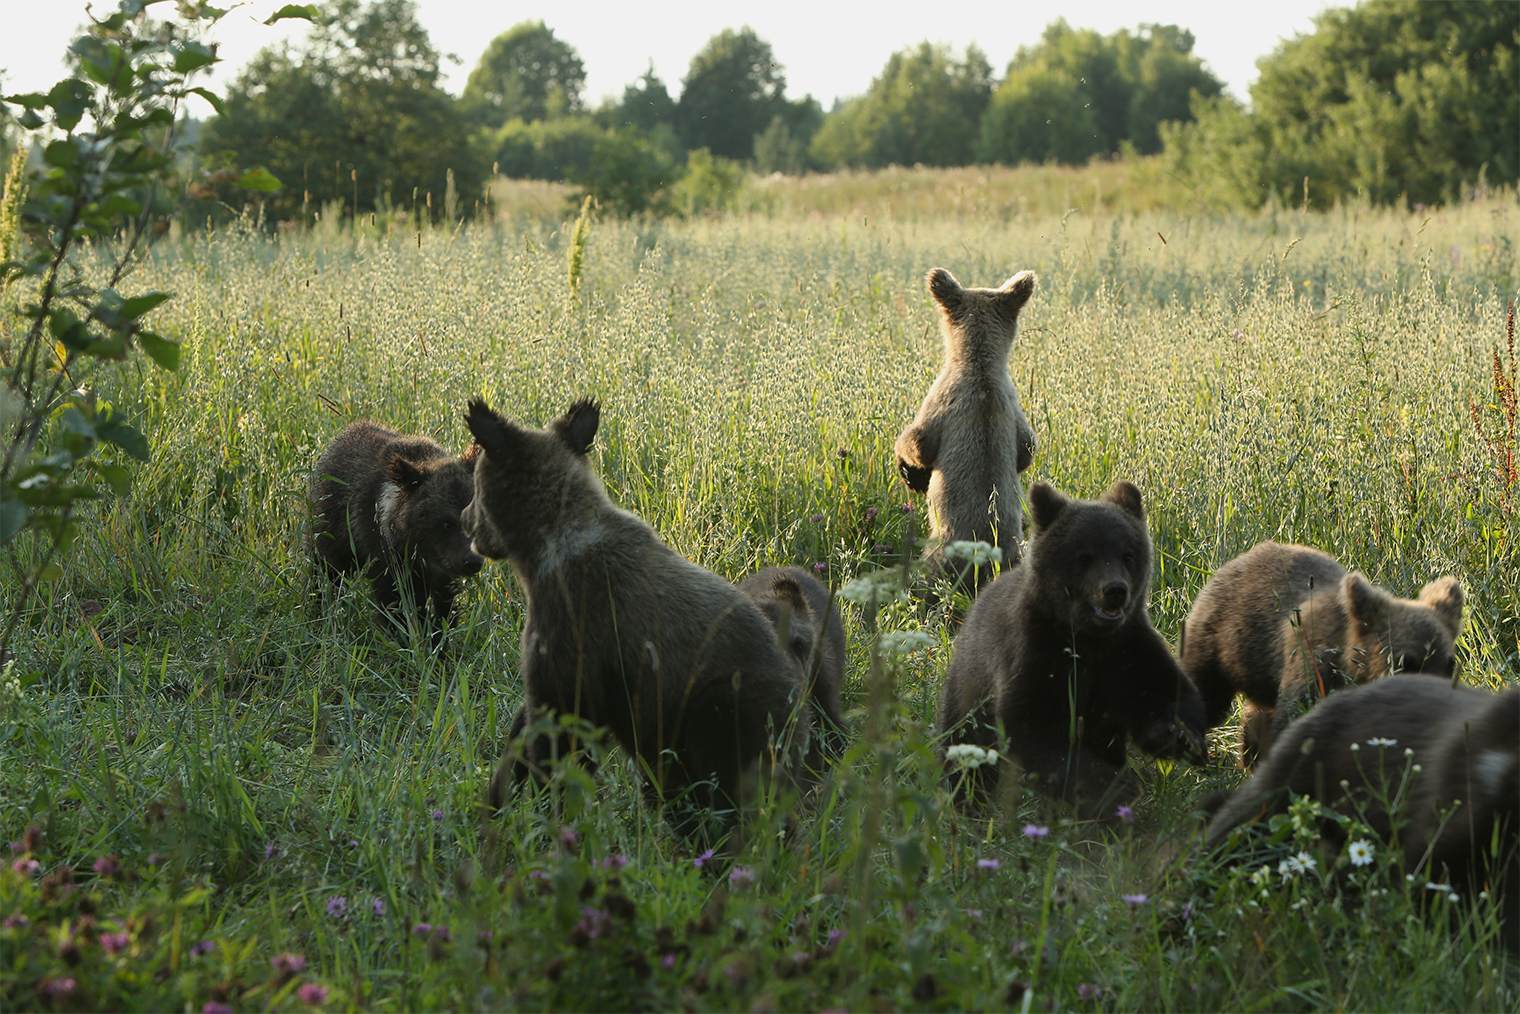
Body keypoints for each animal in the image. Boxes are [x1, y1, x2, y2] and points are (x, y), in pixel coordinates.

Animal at [305, 422, 477, 650]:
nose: (472, 561)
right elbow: (398, 605)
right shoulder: (387, 556)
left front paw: (440, 645)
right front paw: (411, 642)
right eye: (446, 523)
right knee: (325, 573)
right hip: (332, 529)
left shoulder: (441, 571)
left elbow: (443, 609)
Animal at [462, 395, 814, 839]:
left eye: (474, 487)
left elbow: (561, 729)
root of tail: (802, 710)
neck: (544, 547)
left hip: (724, 707)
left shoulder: (577, 629)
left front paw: (547, 814)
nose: (465, 521)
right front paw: (496, 800)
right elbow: (525, 728)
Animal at [893, 266, 1039, 589]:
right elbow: (1027, 449)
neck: (980, 365)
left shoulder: (943, 403)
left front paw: (910, 470)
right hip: (1017, 551)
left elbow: (918, 441)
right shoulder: (1014, 411)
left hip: (939, 549)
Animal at [930, 480, 1203, 820]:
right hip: (969, 687)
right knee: (965, 747)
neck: (1087, 636)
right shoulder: (1038, 651)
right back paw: (967, 800)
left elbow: (1162, 689)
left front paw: (1177, 735)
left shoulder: (1126, 647)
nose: (1115, 591)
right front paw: (1110, 789)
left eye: (1127, 554)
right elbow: (1033, 725)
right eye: (1084, 556)